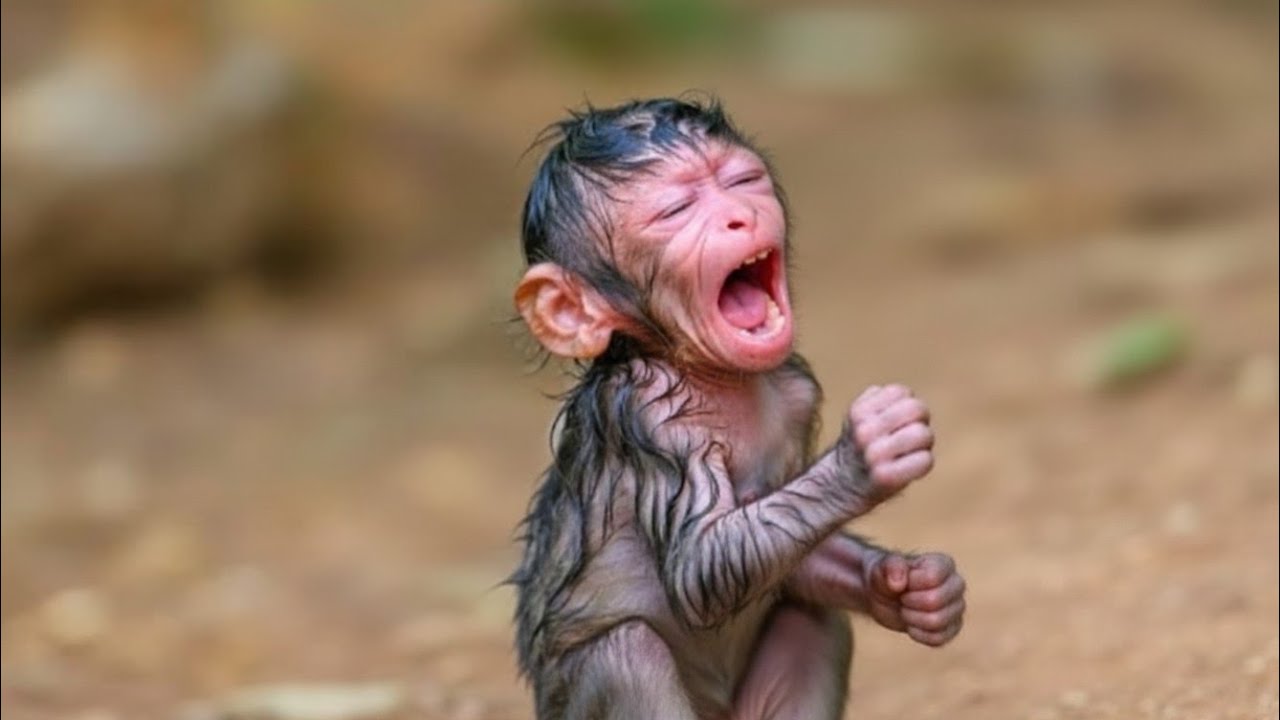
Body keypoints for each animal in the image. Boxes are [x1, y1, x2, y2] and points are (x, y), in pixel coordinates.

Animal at [510, 97, 966, 720]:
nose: (739, 218)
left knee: (810, 619)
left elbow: (788, 548)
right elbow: (701, 571)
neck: (710, 374)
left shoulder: (797, 392)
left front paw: (909, 589)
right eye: (675, 211)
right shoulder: (651, 415)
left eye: (742, 181)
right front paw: (866, 455)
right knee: (625, 650)